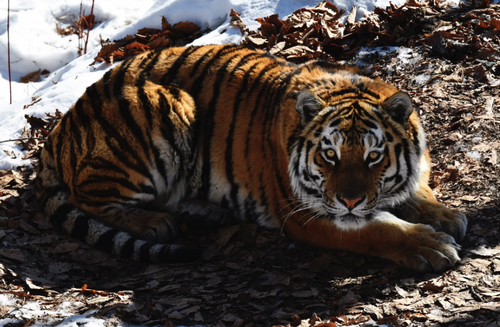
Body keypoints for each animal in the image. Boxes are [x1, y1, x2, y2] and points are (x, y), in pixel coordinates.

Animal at [36, 44, 468, 274]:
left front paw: (445, 215)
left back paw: (207, 211)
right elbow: (376, 228)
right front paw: (428, 245)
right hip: (162, 105)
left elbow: (417, 191)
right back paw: (156, 223)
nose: (350, 200)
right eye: (329, 155)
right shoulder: (308, 212)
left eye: (373, 156)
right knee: (90, 199)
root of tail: (59, 128)